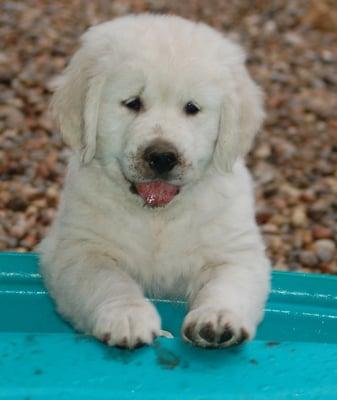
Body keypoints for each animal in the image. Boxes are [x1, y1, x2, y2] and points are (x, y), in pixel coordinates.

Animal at [39, 14, 270, 348]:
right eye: (133, 102)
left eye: (192, 108)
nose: (162, 157)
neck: (157, 217)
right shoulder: (78, 249)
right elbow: (109, 280)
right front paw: (128, 316)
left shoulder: (236, 252)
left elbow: (227, 286)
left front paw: (216, 319)